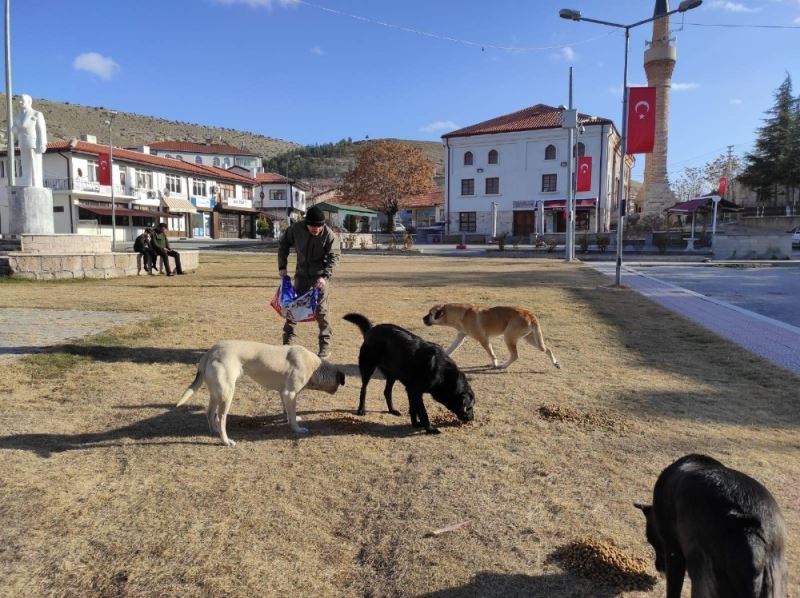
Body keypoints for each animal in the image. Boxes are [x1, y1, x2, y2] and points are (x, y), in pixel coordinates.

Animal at [177, 342, 346, 446]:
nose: (337, 390)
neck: (315, 366)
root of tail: (211, 351)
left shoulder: (283, 394)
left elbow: (288, 412)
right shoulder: (290, 393)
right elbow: (292, 415)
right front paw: (297, 429)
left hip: (216, 393)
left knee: (209, 412)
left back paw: (214, 432)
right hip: (227, 394)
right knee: (221, 418)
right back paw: (225, 441)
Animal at [340, 314, 472, 436]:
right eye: (470, 407)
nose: (472, 418)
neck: (444, 374)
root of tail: (371, 329)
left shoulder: (411, 391)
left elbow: (413, 409)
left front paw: (416, 423)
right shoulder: (415, 391)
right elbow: (422, 412)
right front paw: (429, 428)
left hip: (392, 373)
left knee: (387, 391)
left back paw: (392, 410)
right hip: (368, 367)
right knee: (364, 389)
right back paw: (361, 409)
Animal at [422, 304, 560, 370]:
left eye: (430, 314)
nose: (422, 319)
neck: (462, 314)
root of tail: (530, 314)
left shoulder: (483, 339)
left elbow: (491, 353)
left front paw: (495, 363)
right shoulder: (460, 337)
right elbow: (450, 348)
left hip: (508, 337)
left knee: (515, 355)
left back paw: (503, 366)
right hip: (530, 339)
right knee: (547, 349)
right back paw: (555, 363)